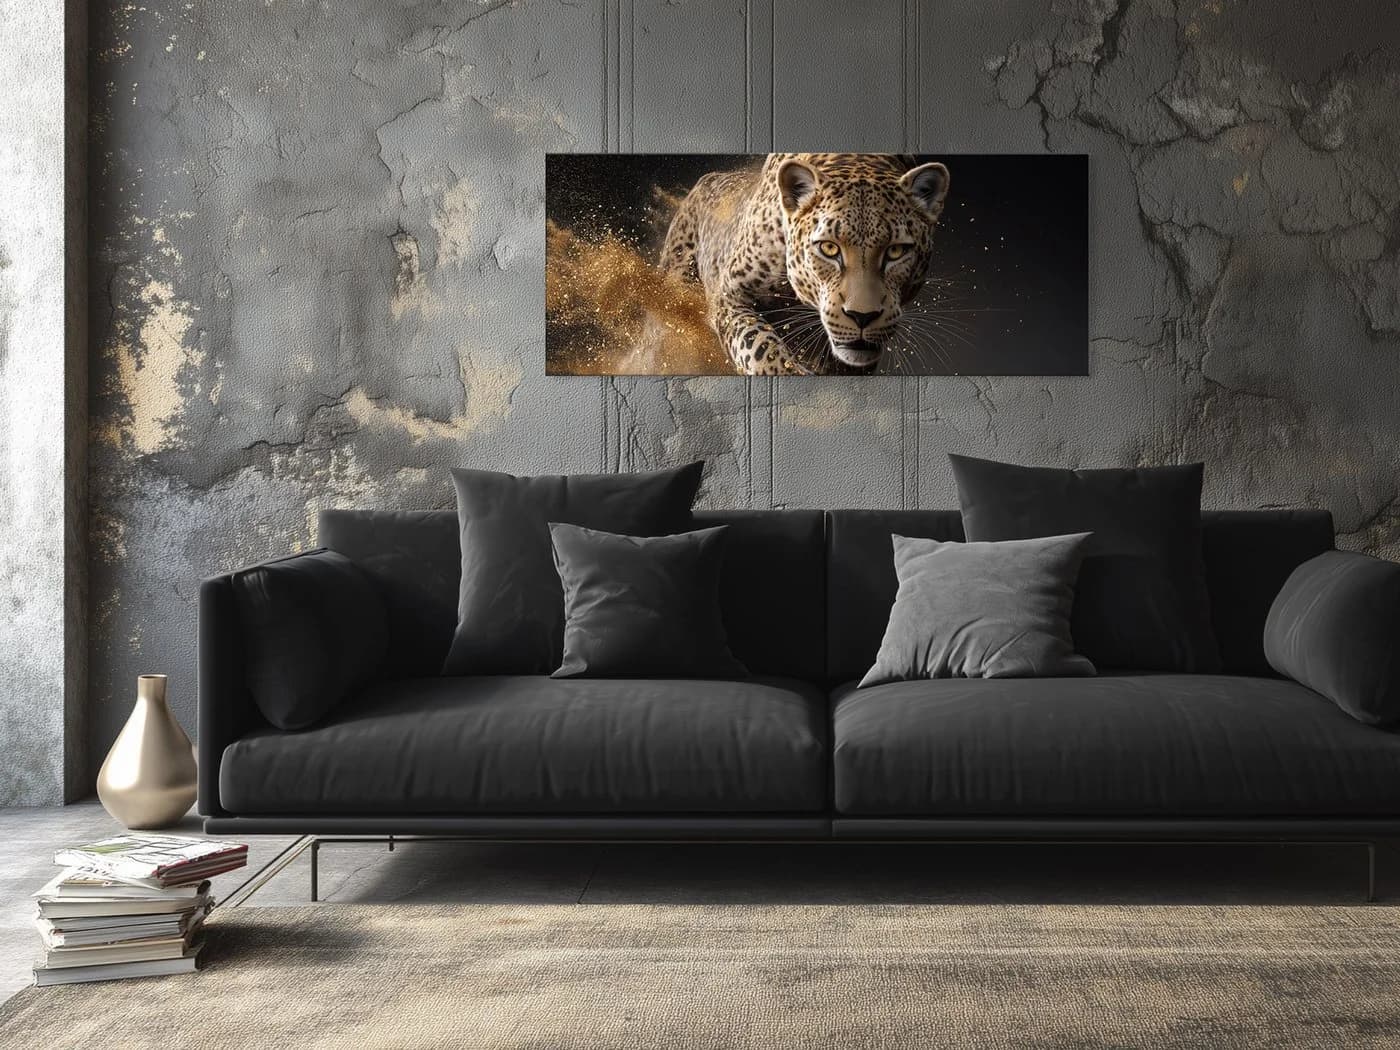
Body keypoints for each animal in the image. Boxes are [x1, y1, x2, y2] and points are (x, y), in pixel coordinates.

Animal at [659, 153, 950, 375]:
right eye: (829, 248)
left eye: (896, 251)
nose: (862, 317)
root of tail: (710, 177)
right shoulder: (730, 295)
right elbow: (758, 345)